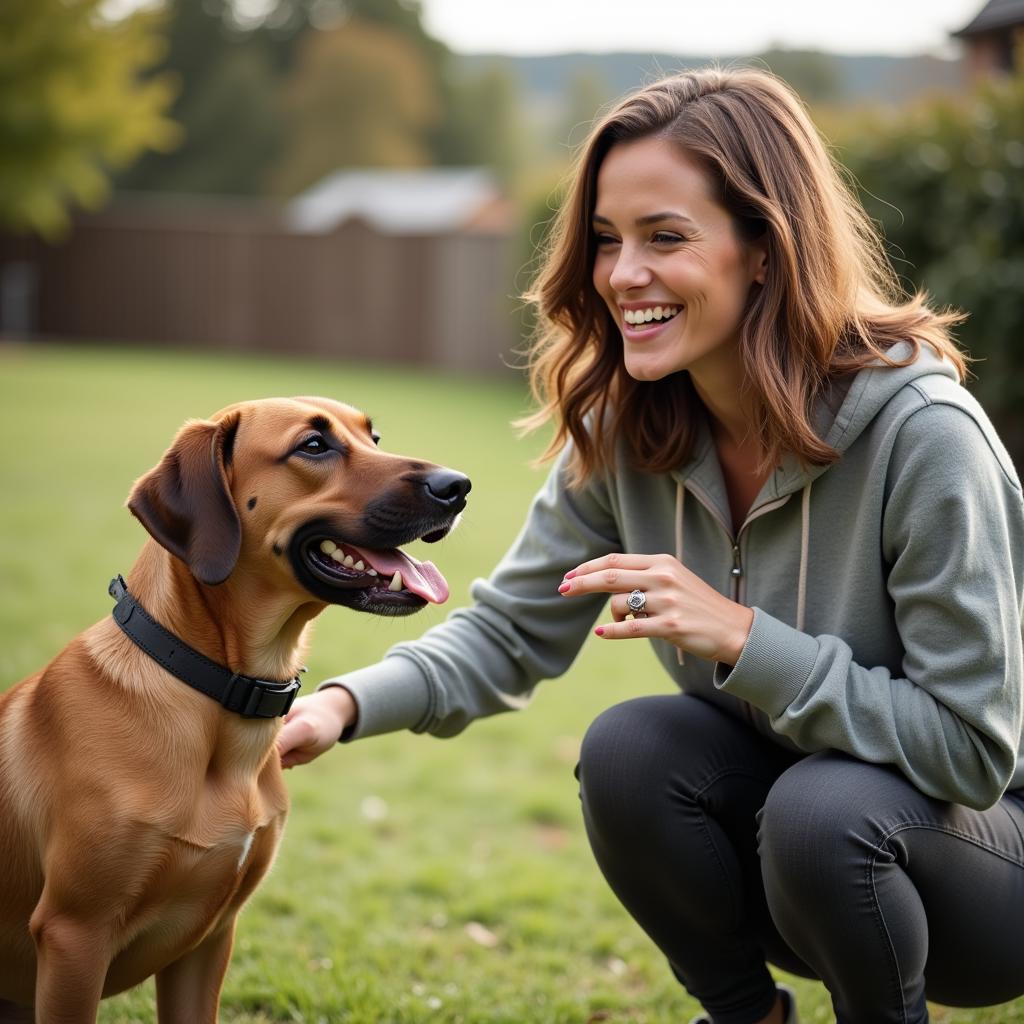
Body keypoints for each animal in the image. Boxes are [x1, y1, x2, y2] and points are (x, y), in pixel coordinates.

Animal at [0, 397, 468, 1024]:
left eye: (373, 437)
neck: (222, 693)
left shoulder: (210, 940)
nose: (459, 486)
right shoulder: (75, 936)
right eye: (314, 446)